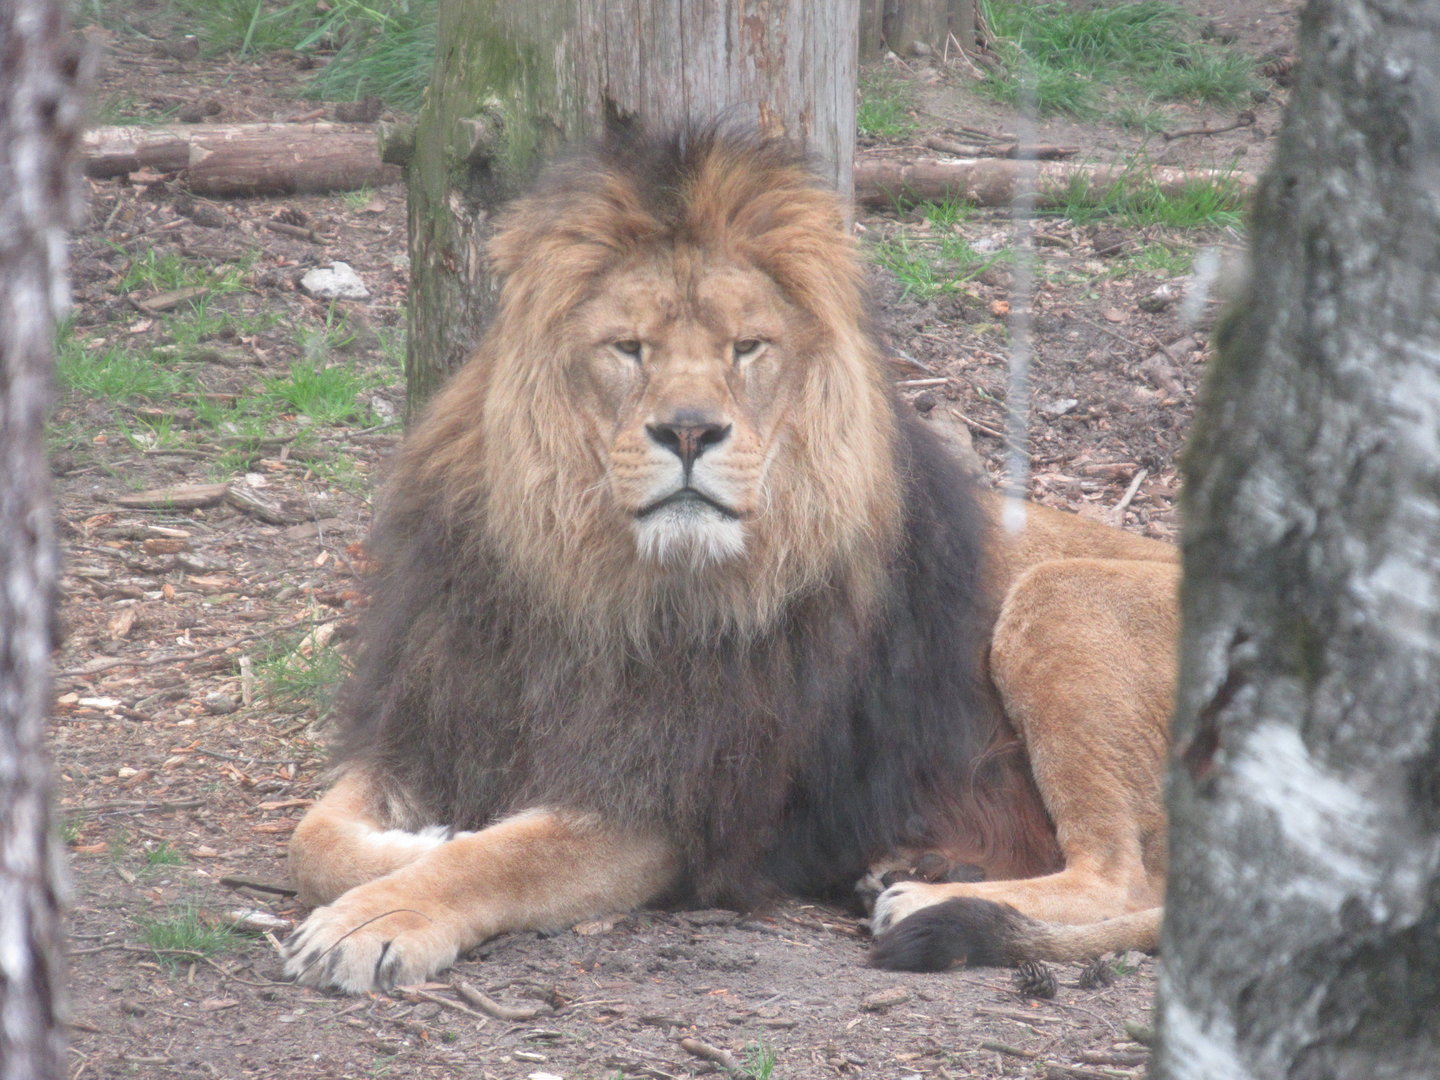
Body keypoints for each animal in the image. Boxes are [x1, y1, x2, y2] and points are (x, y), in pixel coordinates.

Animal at [282, 127, 1180, 993]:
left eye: (747, 348)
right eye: (628, 348)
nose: (689, 430)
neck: (591, 587)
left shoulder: (669, 805)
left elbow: (502, 855)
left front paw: (378, 917)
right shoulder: (432, 717)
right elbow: (314, 835)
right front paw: (418, 842)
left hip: (1059, 595)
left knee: (1124, 878)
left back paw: (925, 899)